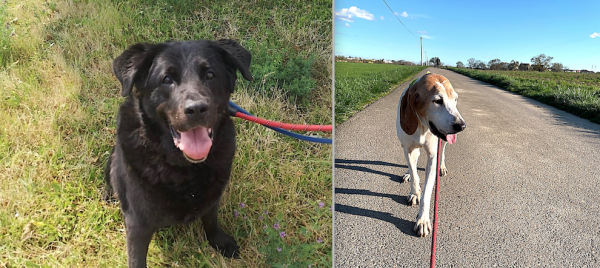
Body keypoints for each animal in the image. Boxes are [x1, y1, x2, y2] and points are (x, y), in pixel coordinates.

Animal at [104, 38, 252, 266]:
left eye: (210, 75)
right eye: (166, 79)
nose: (196, 109)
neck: (184, 169)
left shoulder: (212, 200)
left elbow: (211, 220)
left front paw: (219, 242)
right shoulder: (138, 225)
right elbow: (137, 259)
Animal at [396, 71, 466, 237]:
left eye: (455, 99)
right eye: (437, 101)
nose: (462, 126)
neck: (422, 125)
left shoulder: (432, 156)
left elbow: (427, 192)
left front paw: (422, 220)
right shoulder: (407, 149)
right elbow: (414, 173)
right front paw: (415, 192)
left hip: (444, 141)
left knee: (443, 152)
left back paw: (442, 167)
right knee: (413, 162)